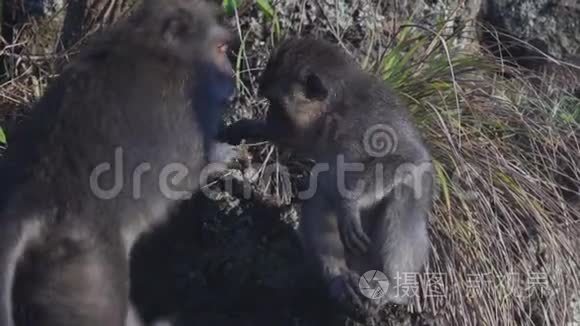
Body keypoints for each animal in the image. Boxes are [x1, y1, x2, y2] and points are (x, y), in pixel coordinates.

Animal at [0, 1, 236, 324]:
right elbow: (192, 169)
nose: (232, 79)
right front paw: (223, 155)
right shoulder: (187, 110)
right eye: (222, 49)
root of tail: (32, 201)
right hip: (88, 268)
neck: (155, 45)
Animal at [227, 38, 436, 320]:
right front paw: (251, 126)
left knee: (404, 191)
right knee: (320, 196)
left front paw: (350, 205)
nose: (269, 116)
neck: (334, 112)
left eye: (277, 105)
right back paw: (340, 280)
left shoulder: (368, 121)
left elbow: (409, 156)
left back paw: (394, 289)